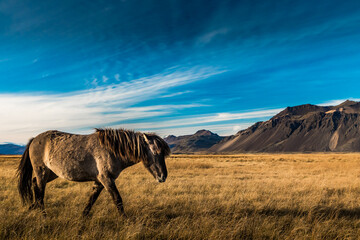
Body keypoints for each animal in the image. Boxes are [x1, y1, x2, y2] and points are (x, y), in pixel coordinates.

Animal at [15, 128, 170, 217]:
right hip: (42, 171)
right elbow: (118, 200)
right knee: (40, 192)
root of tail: (34, 139)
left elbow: (91, 200)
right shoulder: (106, 179)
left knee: (35, 184)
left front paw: (83, 217)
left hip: (51, 173)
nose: (163, 177)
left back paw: (33, 207)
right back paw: (43, 215)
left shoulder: (99, 181)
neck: (111, 150)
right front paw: (126, 221)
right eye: (155, 152)